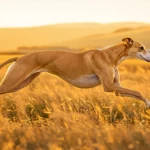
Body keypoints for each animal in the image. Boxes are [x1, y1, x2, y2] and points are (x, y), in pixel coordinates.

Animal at [0, 38, 150, 107]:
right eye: (141, 47)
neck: (110, 56)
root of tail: (19, 57)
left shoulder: (116, 88)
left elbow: (137, 93)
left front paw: (147, 104)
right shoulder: (108, 86)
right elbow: (137, 92)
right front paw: (148, 104)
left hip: (20, 83)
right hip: (13, 81)